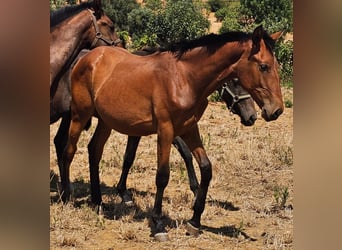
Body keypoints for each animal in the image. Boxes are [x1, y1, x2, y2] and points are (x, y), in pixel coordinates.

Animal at [61, 24, 284, 240]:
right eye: (263, 66)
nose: (276, 110)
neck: (184, 78)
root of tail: (88, 58)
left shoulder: (189, 129)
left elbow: (206, 168)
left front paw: (195, 221)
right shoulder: (165, 130)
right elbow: (162, 176)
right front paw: (158, 224)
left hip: (106, 121)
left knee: (94, 150)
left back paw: (98, 201)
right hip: (80, 115)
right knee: (68, 151)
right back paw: (66, 197)